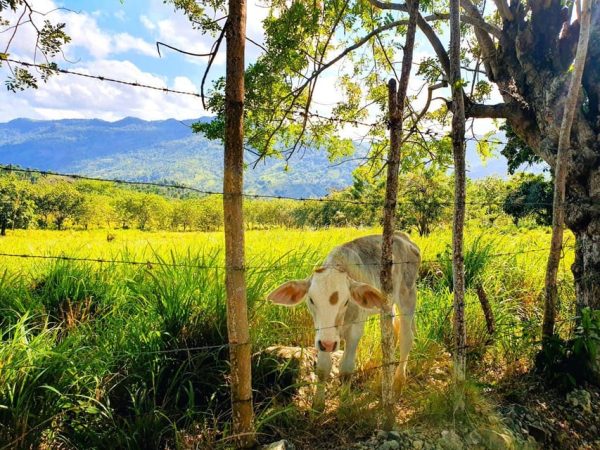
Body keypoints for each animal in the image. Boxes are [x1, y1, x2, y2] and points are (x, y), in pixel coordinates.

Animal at [270, 234, 420, 396]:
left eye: (346, 301)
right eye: (311, 300)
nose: (329, 344)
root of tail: (404, 237)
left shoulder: (355, 330)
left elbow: (346, 370)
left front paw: (344, 398)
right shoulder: (321, 334)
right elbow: (323, 369)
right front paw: (318, 401)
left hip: (407, 295)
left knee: (407, 337)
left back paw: (398, 382)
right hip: (388, 304)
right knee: (392, 333)